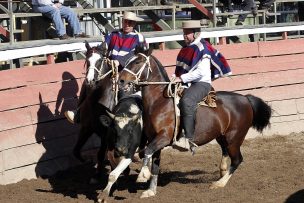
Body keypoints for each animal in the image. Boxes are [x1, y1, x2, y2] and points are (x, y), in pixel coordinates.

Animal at [117, 46, 272, 198]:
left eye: (137, 62)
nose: (121, 80)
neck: (160, 102)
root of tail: (245, 98)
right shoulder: (154, 139)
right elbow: (153, 162)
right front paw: (151, 190)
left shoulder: (164, 138)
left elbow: (146, 152)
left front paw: (143, 175)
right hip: (222, 136)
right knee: (225, 152)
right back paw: (221, 172)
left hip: (234, 138)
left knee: (237, 160)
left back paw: (219, 183)